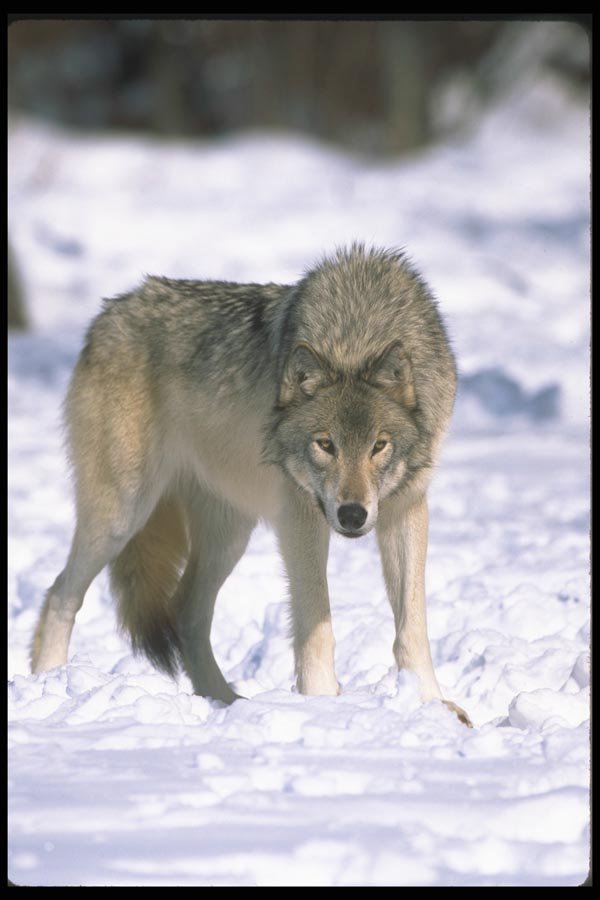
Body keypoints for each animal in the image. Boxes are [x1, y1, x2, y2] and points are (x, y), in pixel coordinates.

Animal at [31, 244, 471, 726]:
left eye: (379, 445)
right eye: (325, 444)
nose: (353, 515)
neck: (356, 332)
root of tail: (111, 310)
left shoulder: (405, 507)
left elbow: (412, 626)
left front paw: (430, 706)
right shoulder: (301, 516)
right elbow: (317, 625)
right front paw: (323, 706)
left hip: (229, 537)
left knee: (186, 613)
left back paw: (224, 702)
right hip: (122, 514)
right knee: (60, 594)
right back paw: (47, 686)